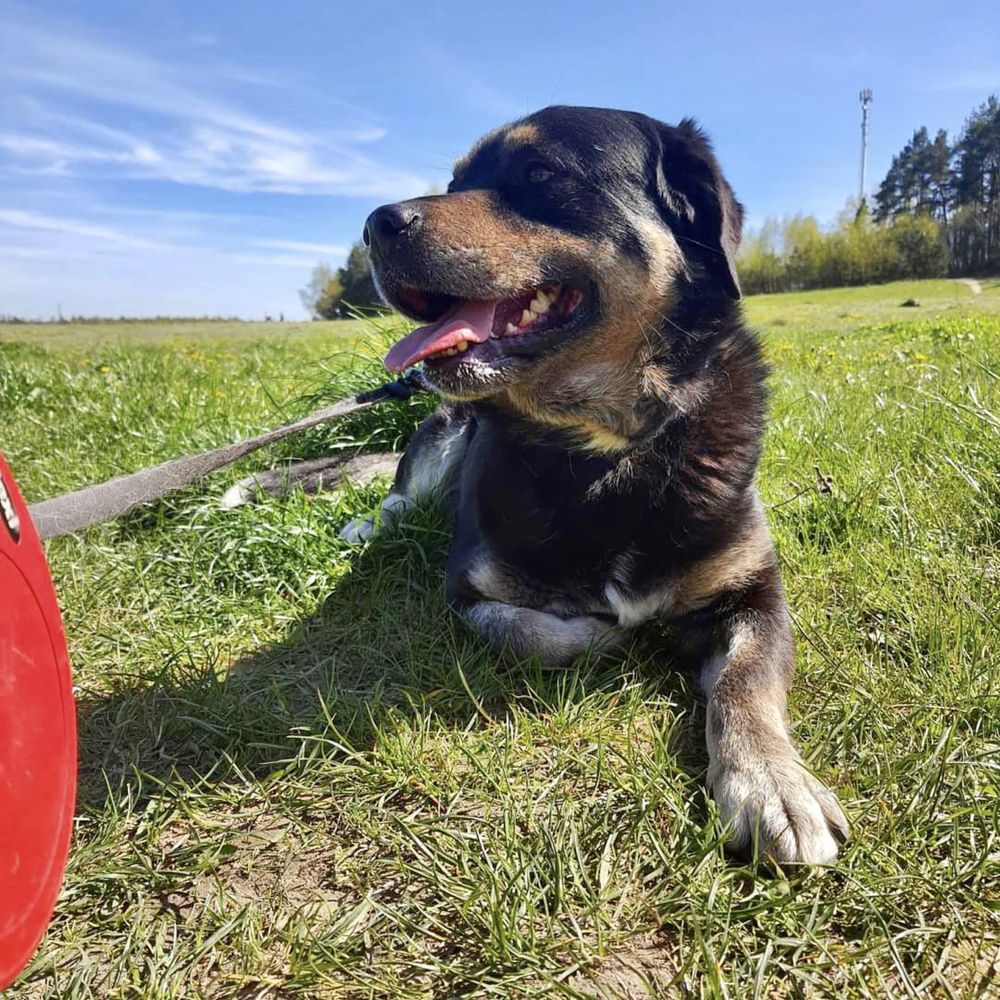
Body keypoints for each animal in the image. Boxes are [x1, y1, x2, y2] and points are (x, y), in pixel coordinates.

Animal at [332, 105, 848, 864]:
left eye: (540, 172)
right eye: (455, 182)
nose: (373, 224)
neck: (607, 452)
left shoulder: (754, 589)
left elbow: (746, 680)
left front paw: (772, 782)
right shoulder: (467, 589)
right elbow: (537, 634)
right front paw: (607, 635)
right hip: (443, 431)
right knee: (401, 492)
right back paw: (369, 523)